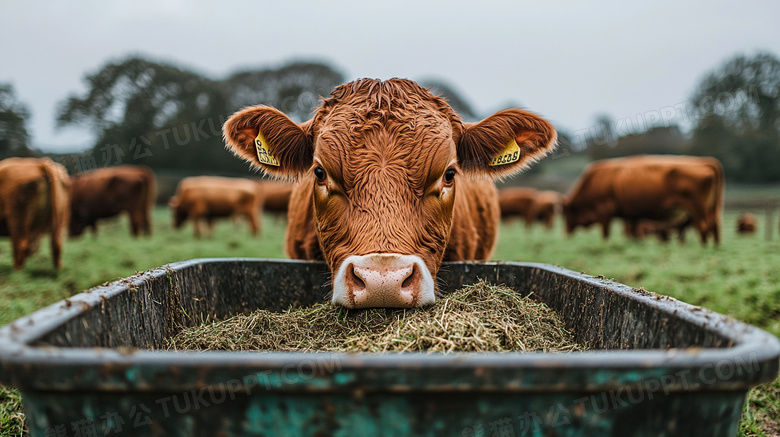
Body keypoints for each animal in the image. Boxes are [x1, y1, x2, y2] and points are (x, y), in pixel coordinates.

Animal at [560, 154, 724, 244]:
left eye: (567, 214)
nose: (566, 232)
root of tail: (707, 165)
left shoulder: (605, 212)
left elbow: (606, 233)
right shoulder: (632, 215)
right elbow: (633, 232)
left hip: (698, 209)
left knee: (704, 226)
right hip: (710, 209)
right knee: (714, 226)